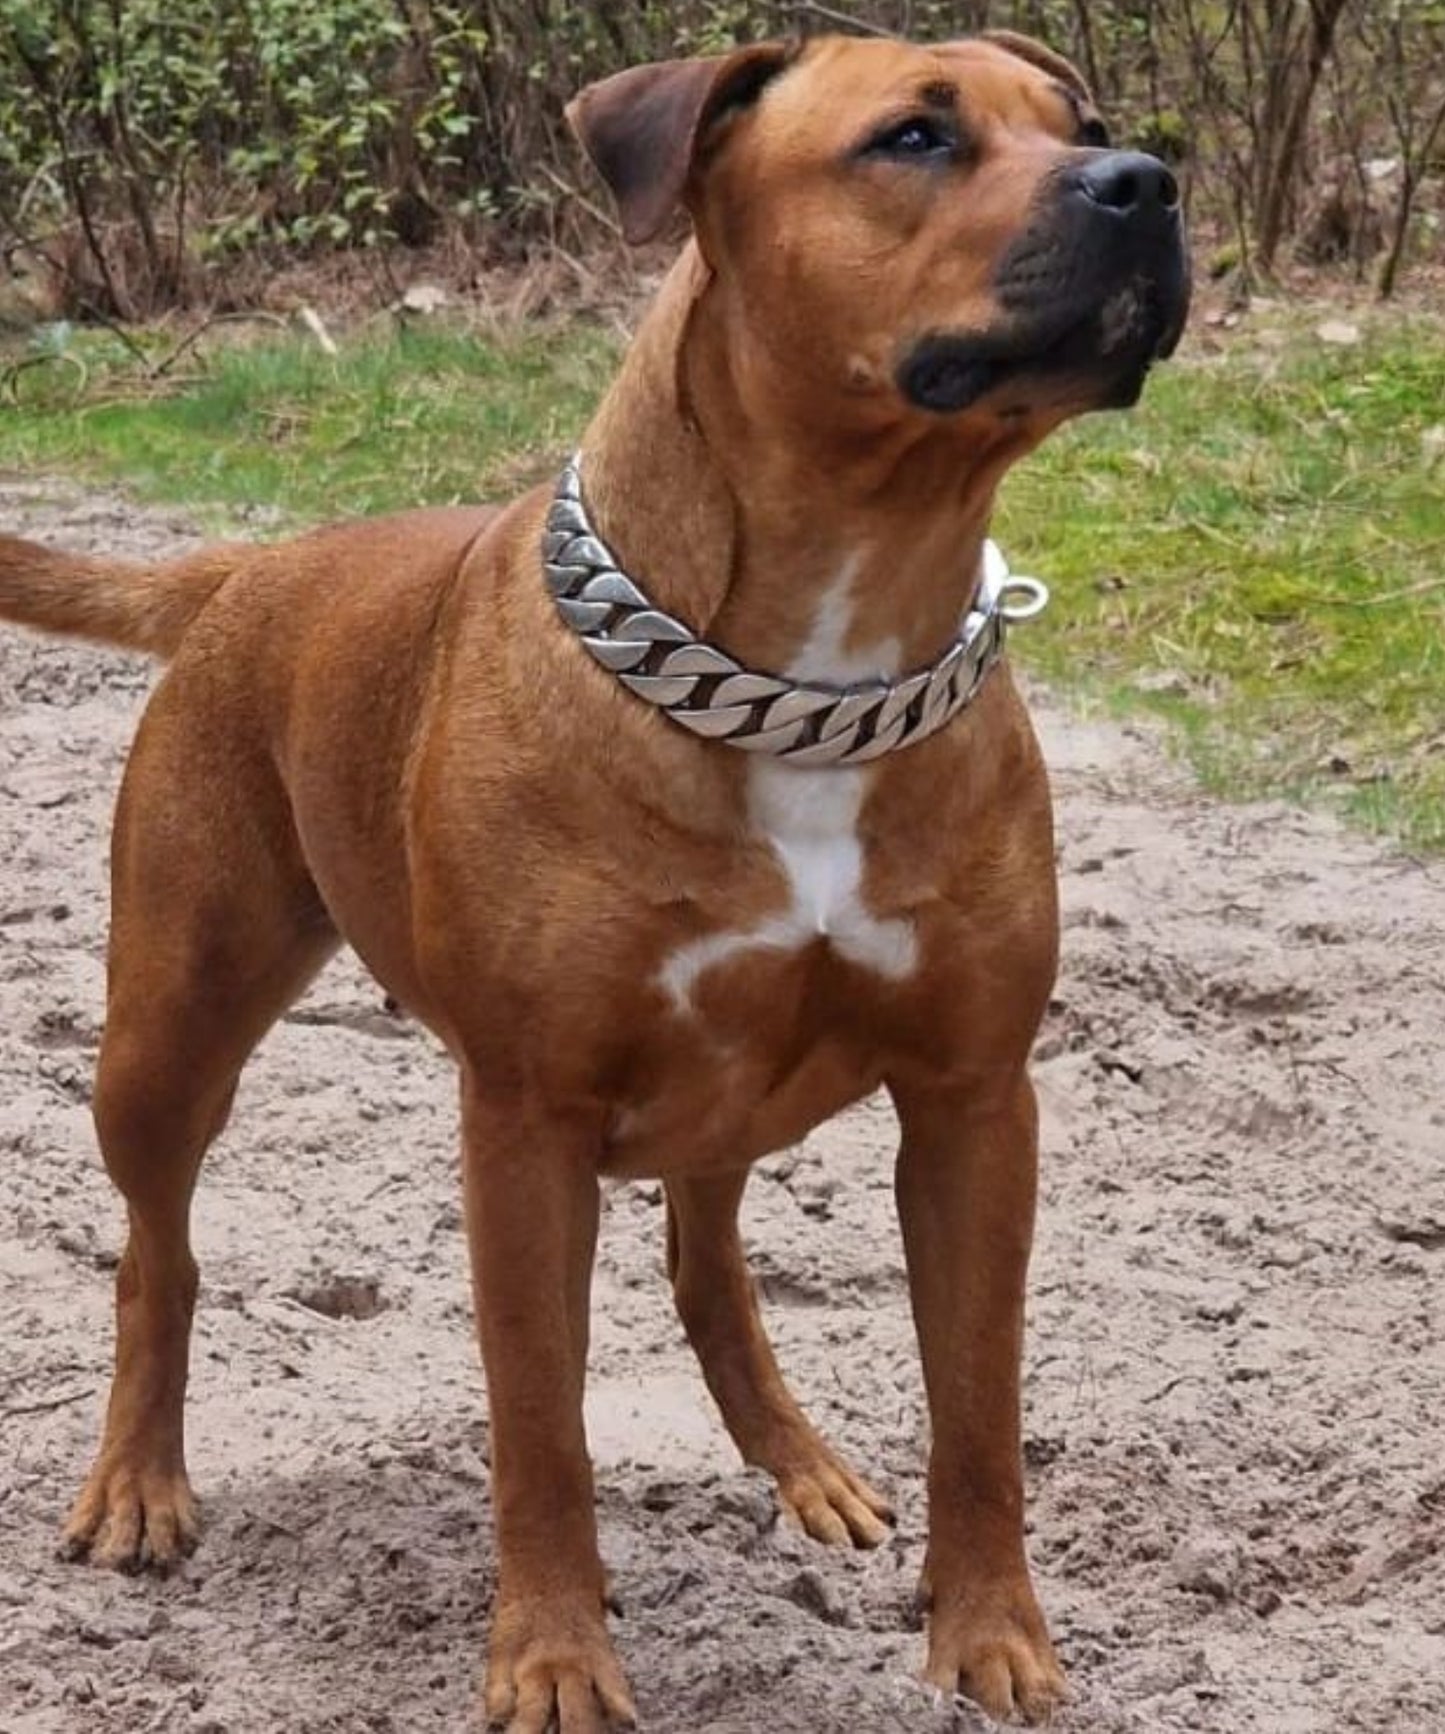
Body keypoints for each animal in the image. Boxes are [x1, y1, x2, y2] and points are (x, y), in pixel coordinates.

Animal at [0, 30, 1186, 1734]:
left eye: (1084, 125)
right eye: (912, 138)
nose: (1148, 182)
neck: (812, 667)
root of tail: (252, 569)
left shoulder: (973, 1101)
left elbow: (978, 1402)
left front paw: (991, 1635)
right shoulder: (526, 1120)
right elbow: (539, 1422)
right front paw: (555, 1654)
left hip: (733, 1089)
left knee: (707, 1257)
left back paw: (801, 1463)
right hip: (167, 1029)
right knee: (160, 1258)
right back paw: (138, 1485)